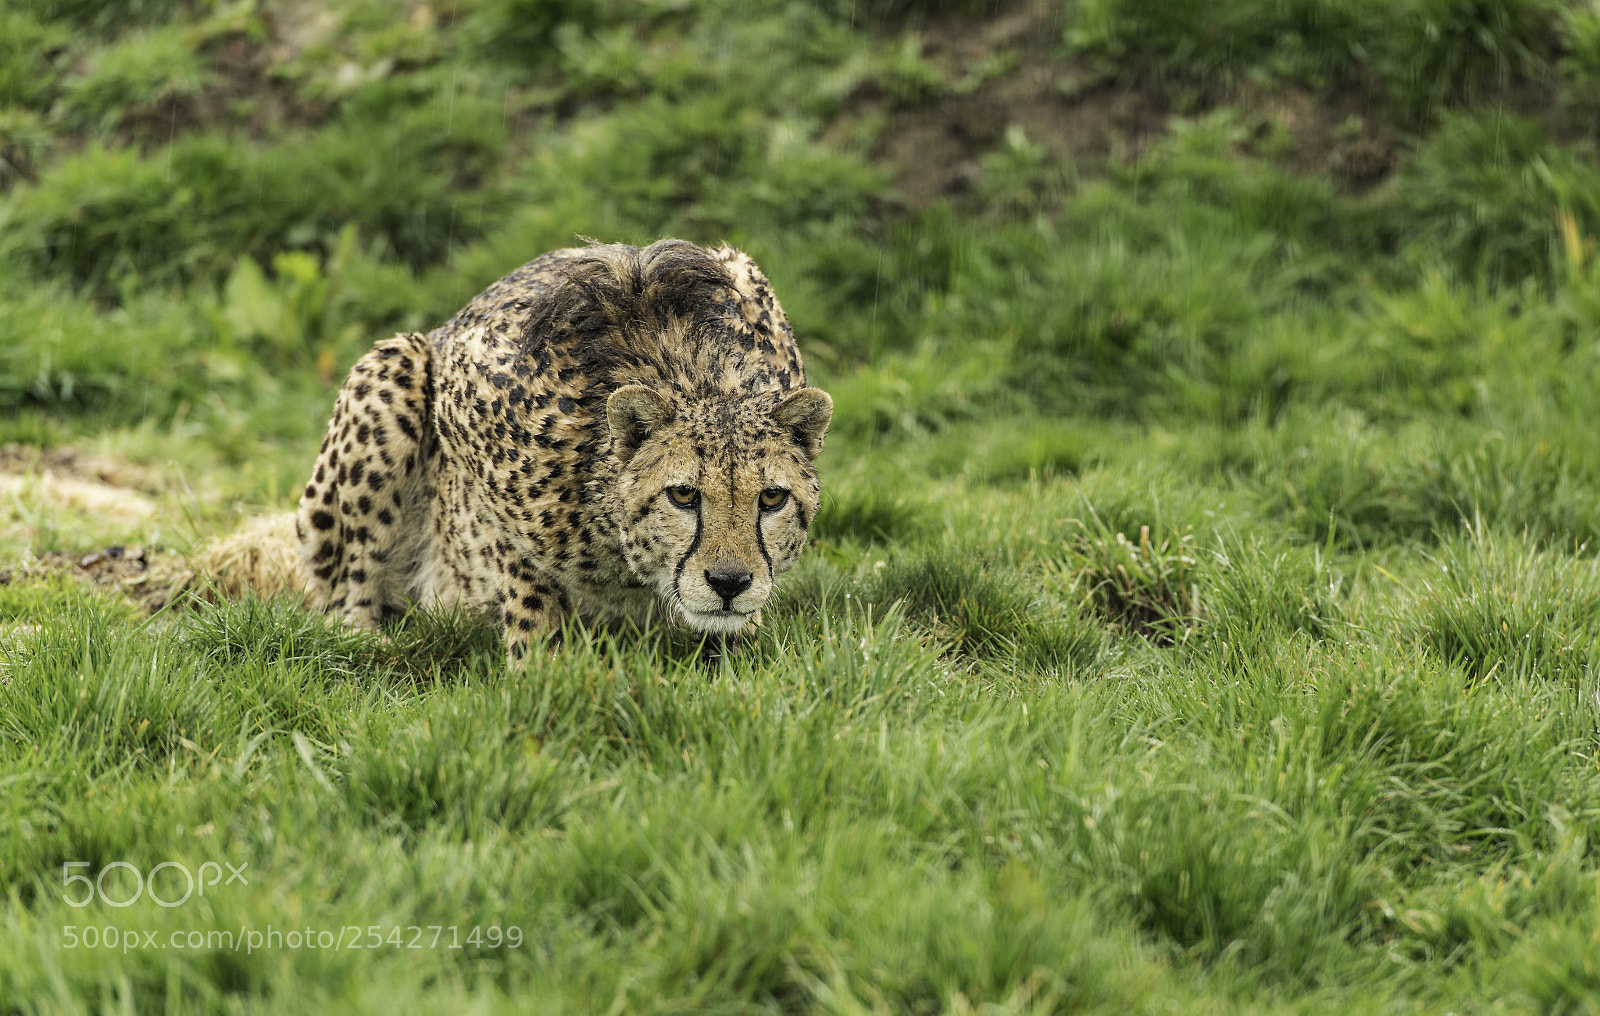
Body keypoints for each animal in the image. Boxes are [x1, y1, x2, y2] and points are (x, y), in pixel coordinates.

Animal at [295, 239, 832, 663]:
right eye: (683, 495)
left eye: (771, 499)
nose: (729, 583)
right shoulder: (465, 399)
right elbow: (521, 567)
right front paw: (540, 664)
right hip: (395, 365)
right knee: (344, 586)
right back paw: (367, 640)